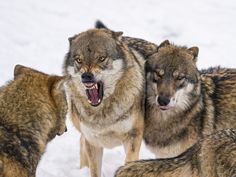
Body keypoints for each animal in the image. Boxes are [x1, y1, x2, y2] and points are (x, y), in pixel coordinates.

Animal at [61, 27, 145, 177]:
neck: (103, 113)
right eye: (79, 60)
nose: (86, 77)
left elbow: (129, 162)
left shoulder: (133, 136)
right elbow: (94, 171)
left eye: (101, 58)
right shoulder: (93, 141)